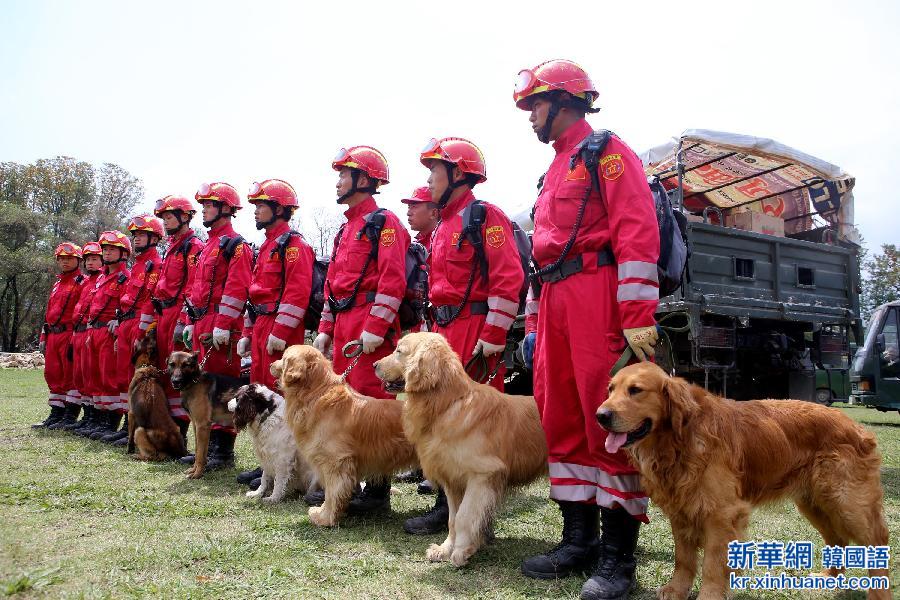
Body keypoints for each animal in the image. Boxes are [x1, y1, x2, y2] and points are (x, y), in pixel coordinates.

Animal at [126, 332, 188, 460]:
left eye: (144, 339)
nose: (152, 331)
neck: (147, 365)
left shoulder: (131, 413)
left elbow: (129, 437)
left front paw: (129, 450)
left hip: (139, 431)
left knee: (152, 456)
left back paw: (137, 455)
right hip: (177, 428)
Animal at [270, 344, 418, 528]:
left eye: (283, 358)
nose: (270, 364)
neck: (316, 393)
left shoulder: (336, 462)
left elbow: (333, 493)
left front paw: (325, 517)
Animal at [372, 332, 548, 568]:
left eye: (399, 351)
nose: (374, 364)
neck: (448, 405)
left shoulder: (482, 476)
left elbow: (465, 516)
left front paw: (462, 550)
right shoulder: (452, 480)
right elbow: (452, 518)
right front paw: (446, 549)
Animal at [596, 360, 892, 600]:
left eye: (635, 390)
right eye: (610, 390)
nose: (601, 415)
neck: (679, 440)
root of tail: (854, 425)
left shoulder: (721, 514)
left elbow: (713, 565)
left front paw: (709, 595)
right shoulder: (681, 511)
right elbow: (684, 559)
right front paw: (676, 590)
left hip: (847, 503)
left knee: (878, 541)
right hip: (815, 503)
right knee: (837, 539)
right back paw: (828, 578)